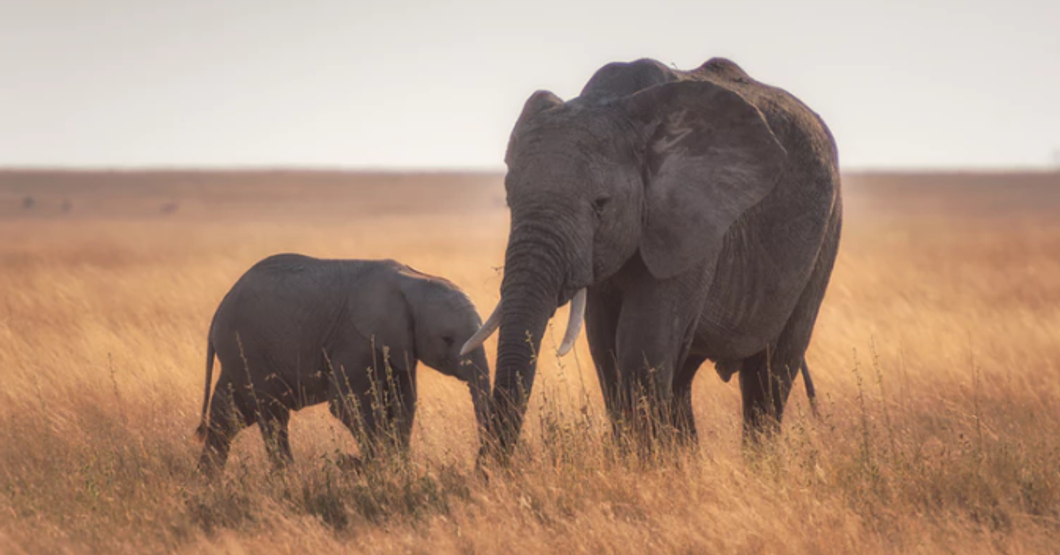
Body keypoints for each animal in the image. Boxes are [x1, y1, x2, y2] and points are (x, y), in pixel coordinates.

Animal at [194, 254, 491, 474]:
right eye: (447, 339)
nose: (480, 467)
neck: (413, 279)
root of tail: (218, 312)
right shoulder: (354, 339)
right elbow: (348, 404)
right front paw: (376, 469)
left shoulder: (400, 346)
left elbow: (404, 403)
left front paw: (398, 468)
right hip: (247, 348)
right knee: (272, 415)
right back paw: (287, 478)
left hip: (240, 354)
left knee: (228, 414)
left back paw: (209, 480)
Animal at [462, 57, 841, 452]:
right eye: (509, 200)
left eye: (601, 204)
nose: (491, 465)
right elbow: (605, 349)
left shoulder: (691, 222)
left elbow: (641, 347)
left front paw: (645, 462)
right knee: (684, 377)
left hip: (826, 232)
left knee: (770, 372)